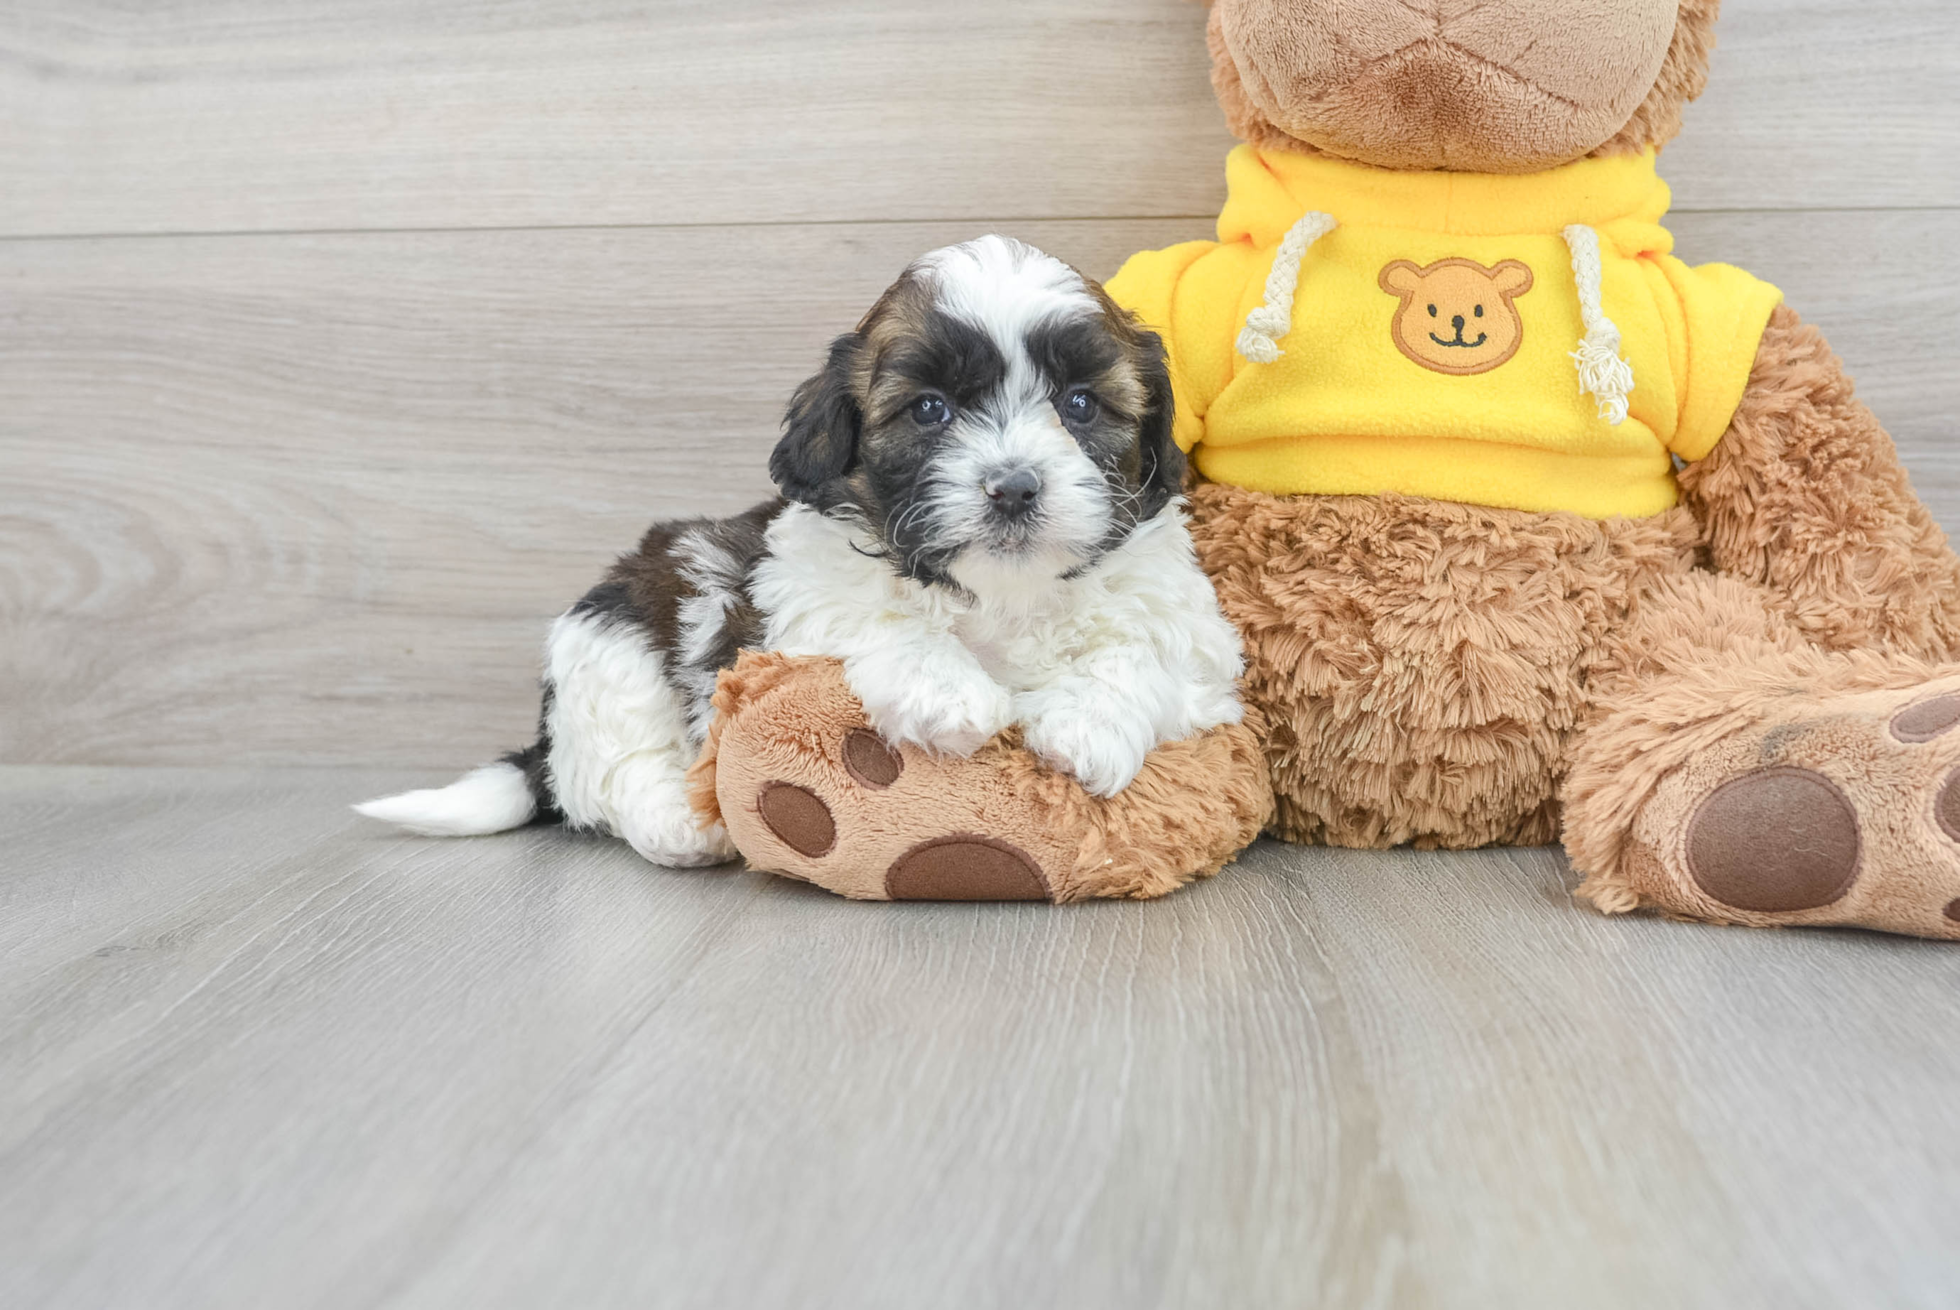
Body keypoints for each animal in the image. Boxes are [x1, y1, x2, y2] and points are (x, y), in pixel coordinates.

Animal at [360, 238, 1246, 870]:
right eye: (930, 409)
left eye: (1081, 403)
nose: (1015, 487)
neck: (1000, 593)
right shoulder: (793, 603)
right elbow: (877, 619)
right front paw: (949, 693)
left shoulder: (1198, 649)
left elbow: (1142, 654)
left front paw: (1086, 723)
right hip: (613, 634)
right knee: (608, 769)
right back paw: (683, 822)